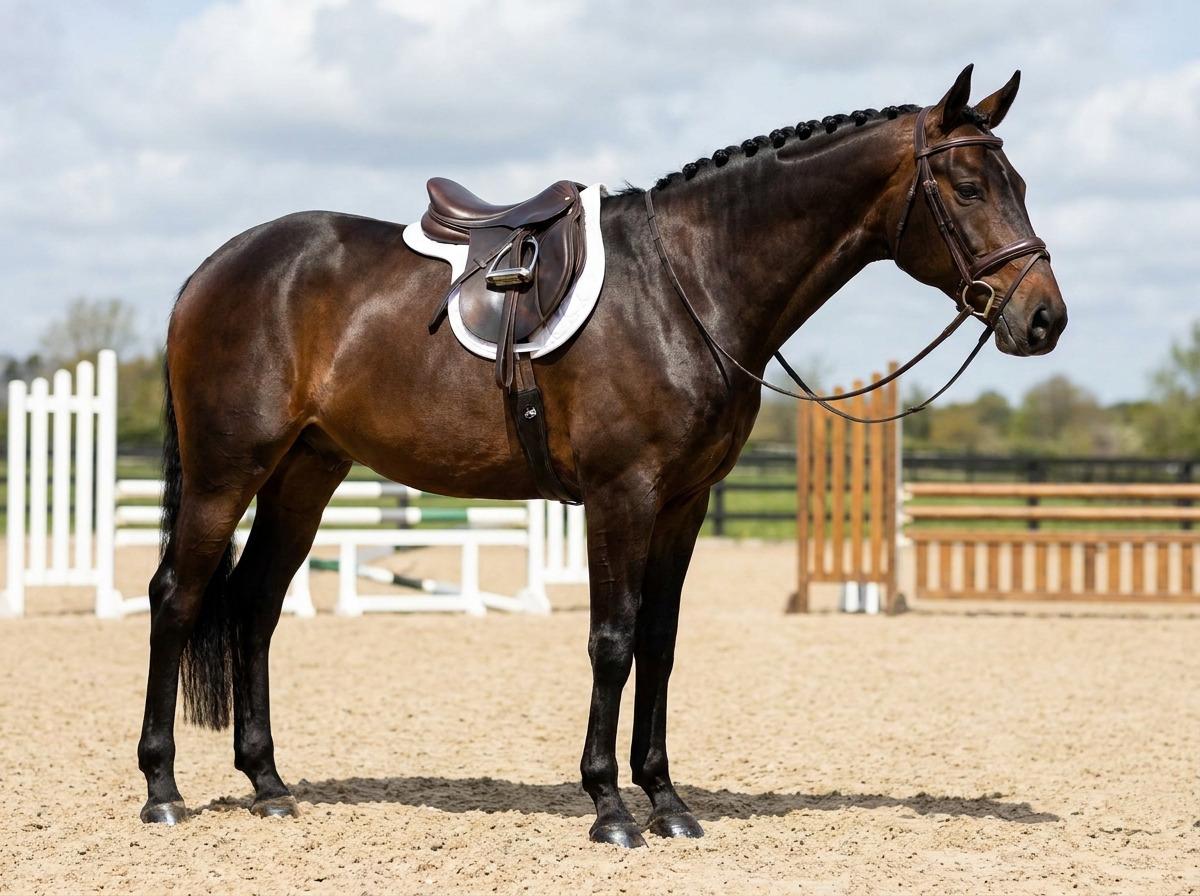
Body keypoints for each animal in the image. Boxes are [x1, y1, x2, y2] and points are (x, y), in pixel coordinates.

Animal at [137, 65, 1067, 847]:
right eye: (971, 187)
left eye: (1021, 185)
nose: (1044, 319)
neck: (689, 286)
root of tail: (216, 268)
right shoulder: (624, 494)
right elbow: (612, 640)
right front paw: (610, 806)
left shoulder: (685, 501)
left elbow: (659, 639)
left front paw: (668, 801)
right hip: (228, 470)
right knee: (178, 596)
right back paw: (162, 790)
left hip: (305, 472)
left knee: (255, 606)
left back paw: (268, 784)